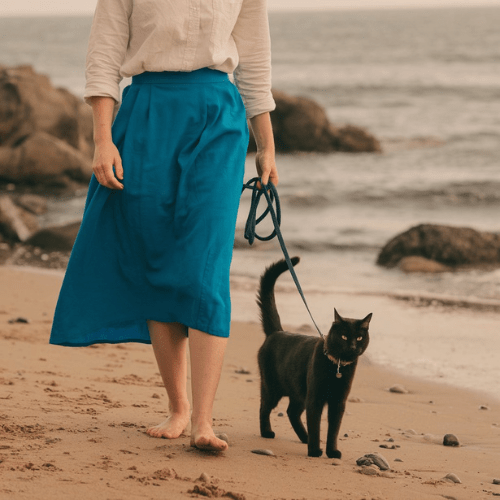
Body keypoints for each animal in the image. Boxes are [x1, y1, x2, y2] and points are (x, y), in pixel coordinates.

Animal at [258, 258, 372, 458]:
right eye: (344, 336)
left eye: (359, 338)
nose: (352, 346)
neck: (338, 367)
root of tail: (276, 332)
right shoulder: (315, 398)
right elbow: (316, 424)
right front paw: (314, 451)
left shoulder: (338, 402)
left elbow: (333, 429)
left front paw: (332, 451)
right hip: (272, 388)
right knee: (264, 407)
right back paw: (268, 432)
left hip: (298, 392)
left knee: (291, 412)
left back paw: (304, 437)